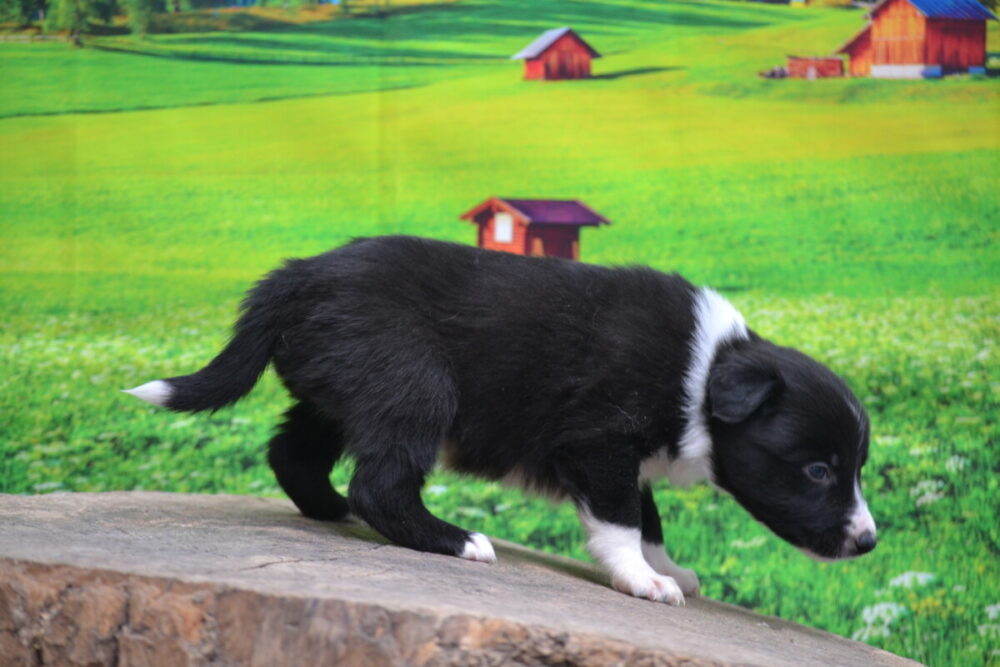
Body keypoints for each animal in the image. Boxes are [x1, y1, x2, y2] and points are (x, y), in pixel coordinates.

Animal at [126, 235, 876, 606]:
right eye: (818, 470)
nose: (869, 541)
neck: (705, 370)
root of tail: (298, 273)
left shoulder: (621, 451)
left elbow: (648, 512)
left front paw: (666, 566)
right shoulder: (599, 441)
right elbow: (623, 519)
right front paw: (644, 579)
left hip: (343, 385)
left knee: (293, 450)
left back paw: (331, 509)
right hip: (414, 382)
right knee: (381, 481)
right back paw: (454, 540)